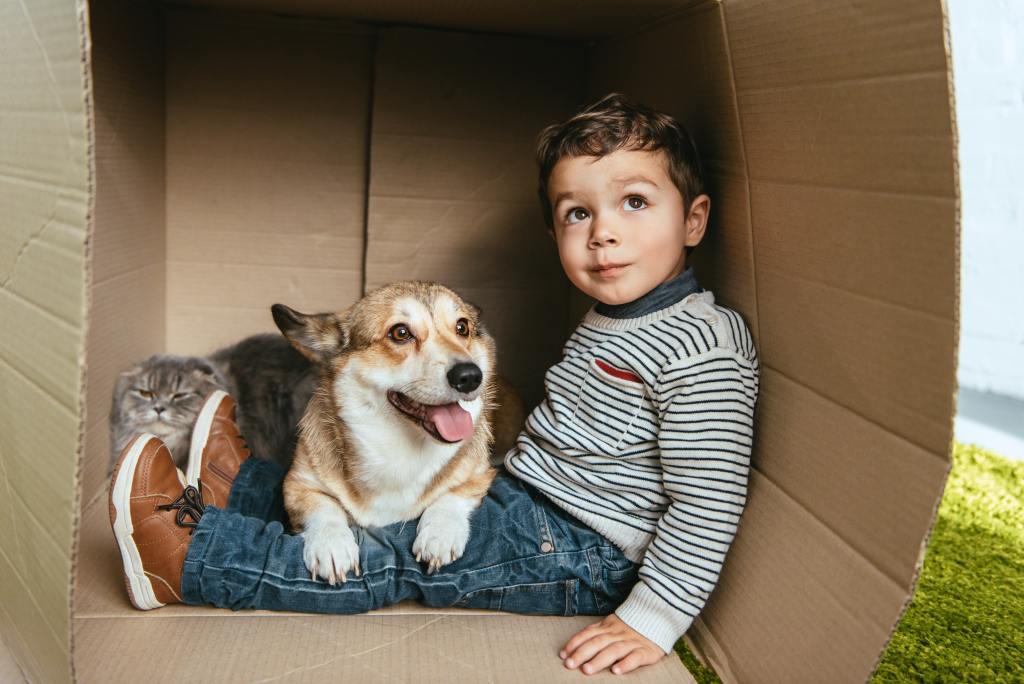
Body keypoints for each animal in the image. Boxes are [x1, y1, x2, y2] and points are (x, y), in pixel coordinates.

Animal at [270, 280, 497, 585]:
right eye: (400, 333)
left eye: (462, 327)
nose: (470, 376)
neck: (401, 446)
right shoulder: (296, 485)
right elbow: (324, 507)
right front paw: (331, 544)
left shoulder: (480, 475)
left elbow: (451, 496)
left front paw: (440, 533)